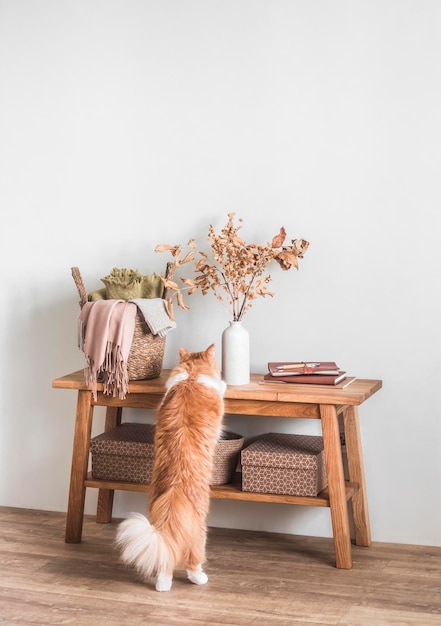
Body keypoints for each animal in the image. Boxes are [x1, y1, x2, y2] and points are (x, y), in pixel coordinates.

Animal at [115, 344, 225, 588]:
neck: (191, 377)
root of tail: (175, 489)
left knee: (166, 557)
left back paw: (162, 586)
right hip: (201, 532)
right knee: (192, 560)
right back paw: (199, 579)